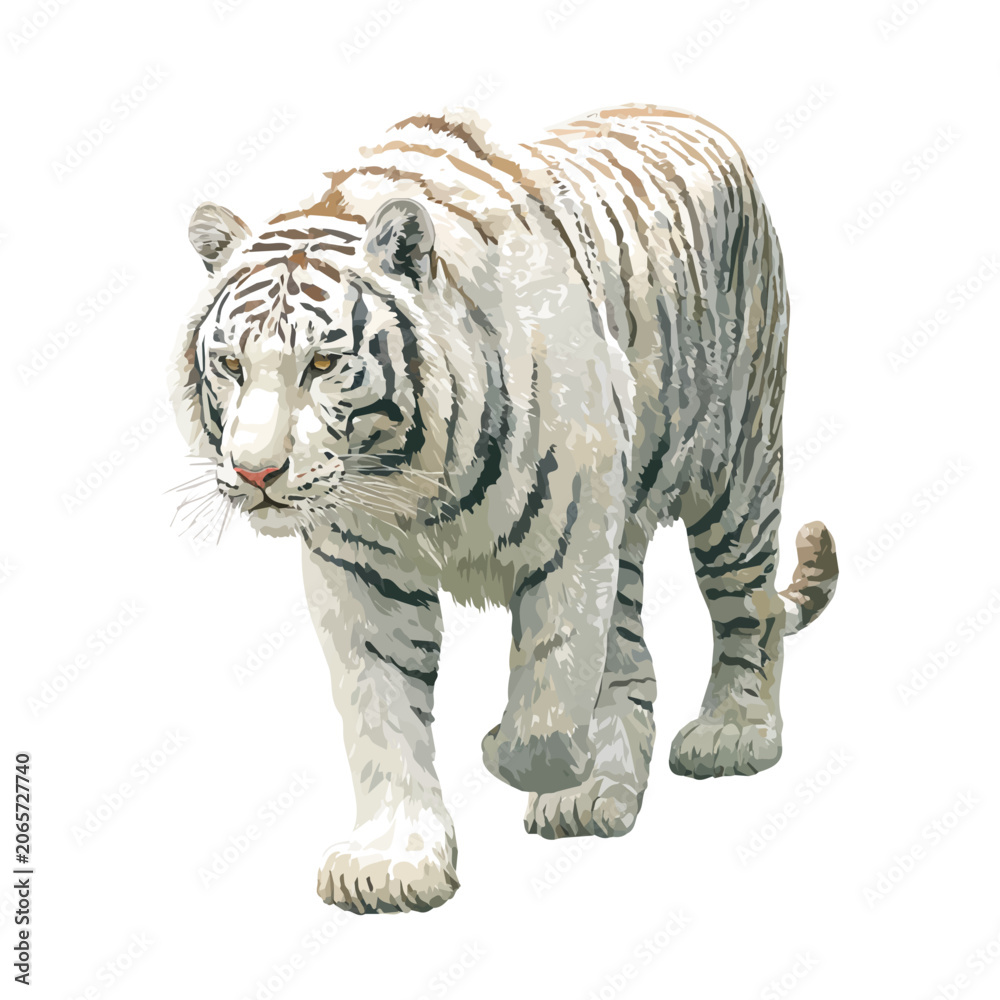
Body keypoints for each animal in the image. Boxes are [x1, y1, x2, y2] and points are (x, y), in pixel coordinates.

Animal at [170, 104, 839, 914]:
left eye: (323, 364)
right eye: (231, 365)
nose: (256, 471)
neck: (407, 478)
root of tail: (692, 117)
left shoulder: (574, 538)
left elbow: (547, 711)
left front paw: (506, 747)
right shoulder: (358, 569)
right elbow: (380, 715)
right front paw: (393, 861)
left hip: (734, 471)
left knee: (751, 609)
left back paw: (732, 735)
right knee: (634, 657)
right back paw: (602, 793)